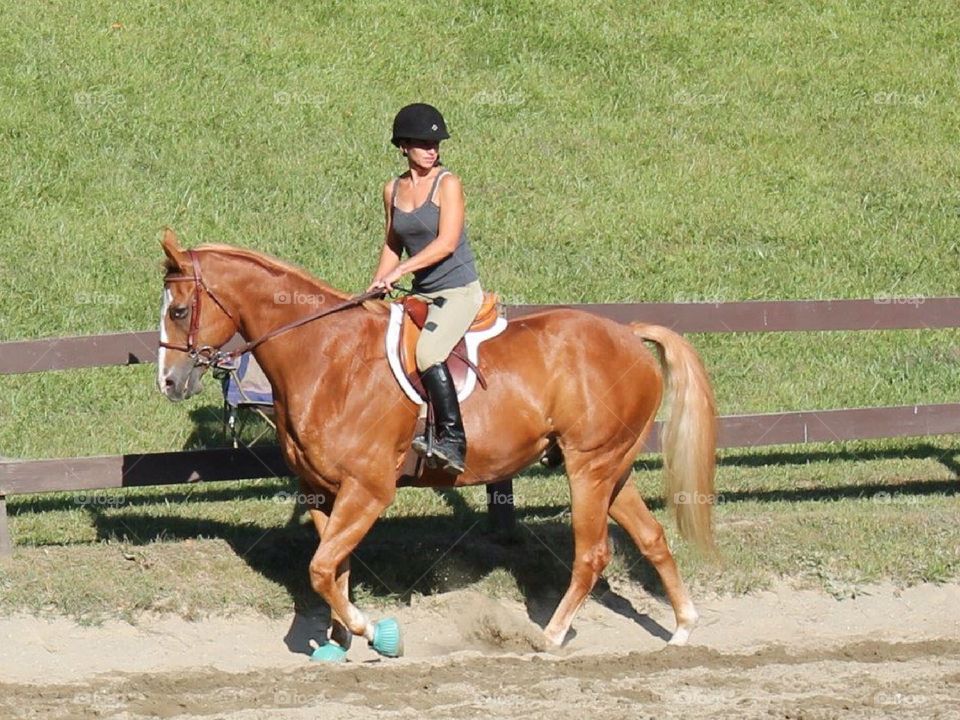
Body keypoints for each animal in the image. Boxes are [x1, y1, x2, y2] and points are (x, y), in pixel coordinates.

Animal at [156, 228, 718, 660]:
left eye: (179, 311)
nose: (169, 382)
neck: (327, 357)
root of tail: (627, 333)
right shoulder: (323, 490)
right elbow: (333, 569)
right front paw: (338, 641)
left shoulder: (368, 490)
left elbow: (320, 568)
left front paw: (376, 634)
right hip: (611, 468)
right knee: (651, 538)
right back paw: (683, 627)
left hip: (589, 467)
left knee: (592, 553)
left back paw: (550, 636)